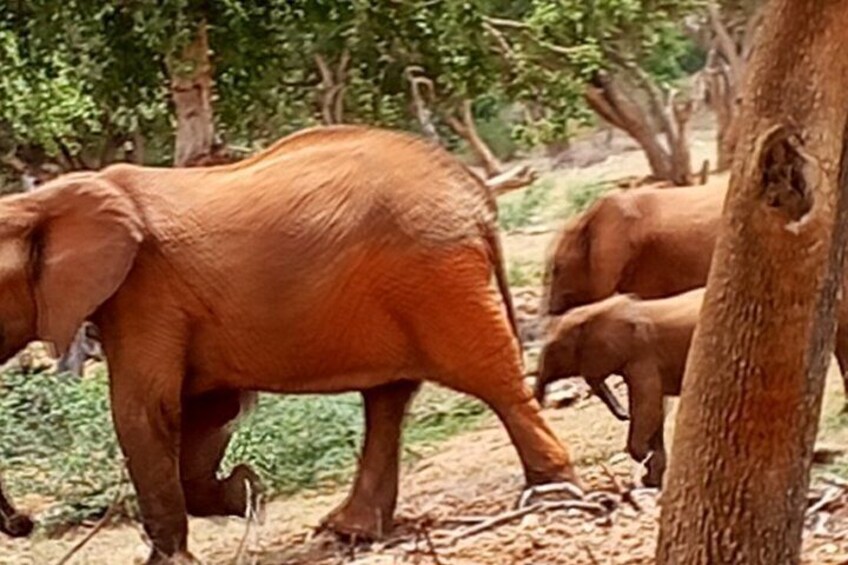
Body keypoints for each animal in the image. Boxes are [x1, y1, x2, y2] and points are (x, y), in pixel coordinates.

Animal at [0, 125, 575, 563]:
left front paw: (190, 541)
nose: (26, 522)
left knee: (489, 377)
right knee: (388, 400)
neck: (45, 201)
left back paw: (553, 493)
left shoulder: (145, 293)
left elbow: (145, 412)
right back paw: (347, 532)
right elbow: (204, 408)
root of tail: (476, 196)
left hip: (437, 274)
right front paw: (244, 492)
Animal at [535, 288, 704, 488]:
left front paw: (647, 464)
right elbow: (656, 411)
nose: (625, 415)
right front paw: (652, 479)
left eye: (554, 350)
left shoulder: (643, 356)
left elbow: (648, 407)